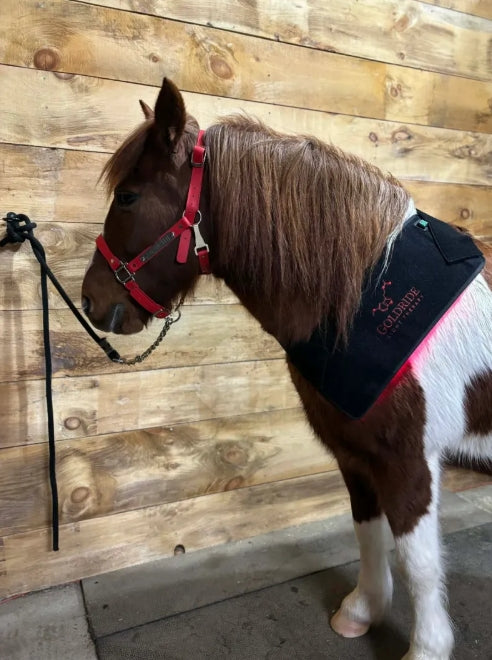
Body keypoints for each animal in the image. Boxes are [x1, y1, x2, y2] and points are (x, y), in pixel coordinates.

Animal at [81, 78, 492, 660]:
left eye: (128, 196)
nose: (91, 301)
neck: (360, 299)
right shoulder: (355, 455)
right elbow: (368, 531)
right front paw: (362, 611)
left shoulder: (409, 462)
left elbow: (420, 561)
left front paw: (427, 647)